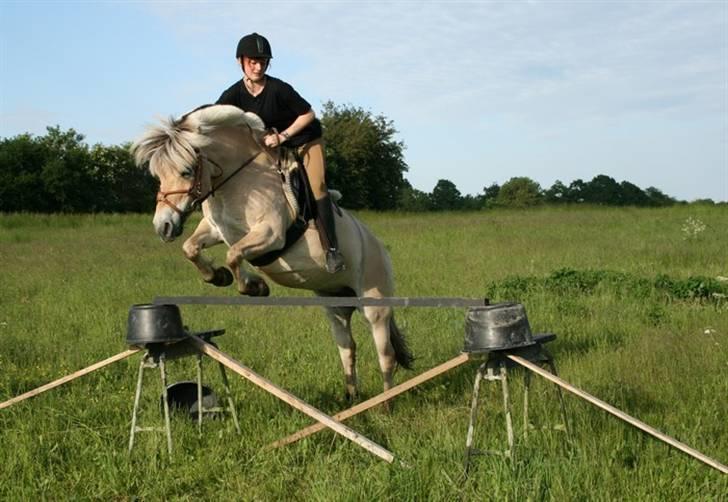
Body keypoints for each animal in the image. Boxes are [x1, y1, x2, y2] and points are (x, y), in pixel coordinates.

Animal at [132, 104, 412, 398]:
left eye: (186, 171)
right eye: (158, 175)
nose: (163, 226)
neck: (238, 181)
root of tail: (379, 246)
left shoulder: (270, 234)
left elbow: (234, 255)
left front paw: (254, 286)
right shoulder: (216, 230)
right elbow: (191, 248)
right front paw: (218, 276)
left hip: (374, 303)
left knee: (386, 355)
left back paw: (386, 403)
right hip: (336, 304)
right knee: (348, 348)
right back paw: (351, 399)